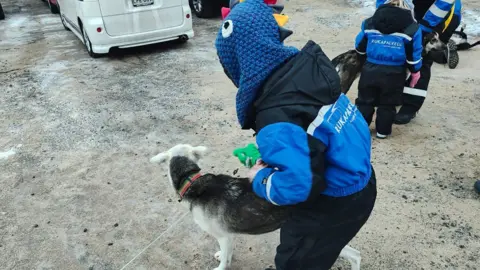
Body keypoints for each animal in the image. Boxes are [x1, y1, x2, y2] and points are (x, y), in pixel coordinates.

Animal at [151, 144, 364, 270]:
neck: (191, 180)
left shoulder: (222, 235)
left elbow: (224, 261)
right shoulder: (229, 235)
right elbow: (227, 254)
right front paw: (224, 256)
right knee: (355, 255)